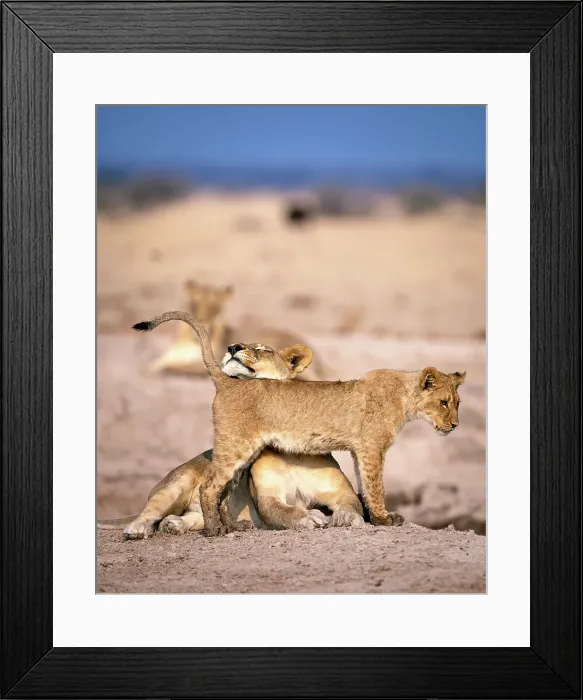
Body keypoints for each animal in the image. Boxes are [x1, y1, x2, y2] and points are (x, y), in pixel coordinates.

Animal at [98, 342, 363, 539]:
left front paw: (346, 517)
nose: (233, 346)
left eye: (264, 349)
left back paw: (174, 525)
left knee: (193, 517)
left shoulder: (341, 492)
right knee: (149, 511)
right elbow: (286, 511)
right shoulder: (267, 499)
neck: (292, 453)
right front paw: (308, 516)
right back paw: (139, 528)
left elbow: (352, 504)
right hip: (176, 484)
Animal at [133, 311, 466, 537]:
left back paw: (233, 527)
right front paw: (384, 519)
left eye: (457, 403)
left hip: (244, 452)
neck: (404, 395)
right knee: (210, 486)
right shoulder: (372, 447)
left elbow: (361, 487)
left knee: (224, 490)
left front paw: (369, 517)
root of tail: (228, 381)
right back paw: (214, 529)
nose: (454, 425)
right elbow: (375, 486)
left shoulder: (359, 450)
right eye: (444, 402)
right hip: (235, 444)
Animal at [145, 280, 326, 378]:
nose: (203, 322)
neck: (190, 340)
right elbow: (155, 364)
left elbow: (175, 367)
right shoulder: (168, 357)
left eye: (215, 308)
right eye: (196, 304)